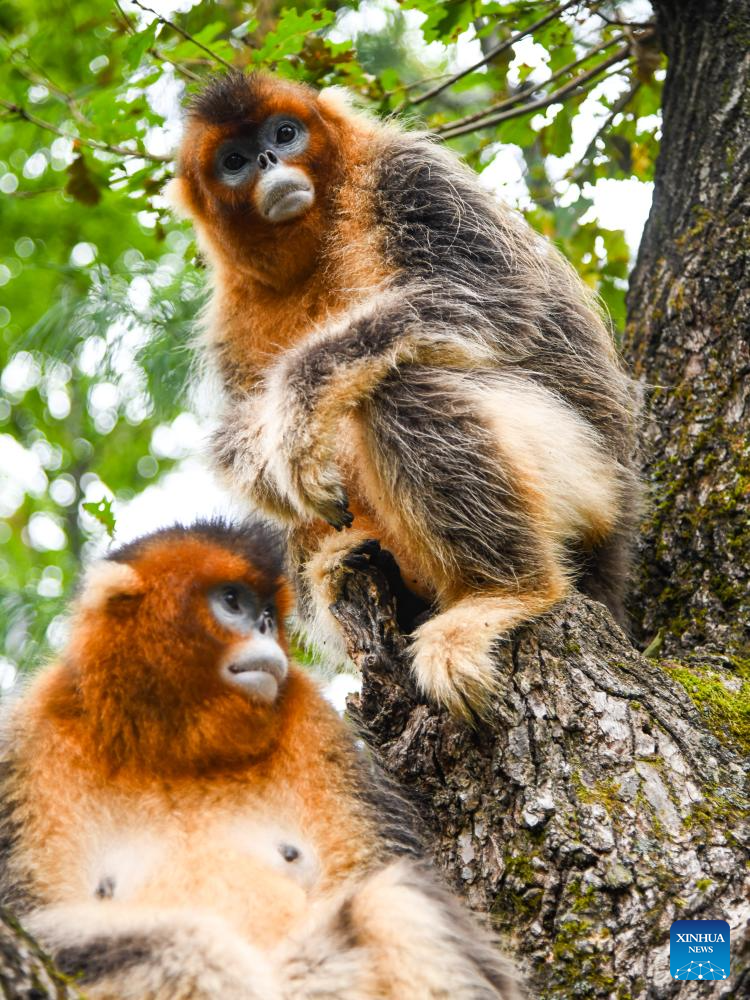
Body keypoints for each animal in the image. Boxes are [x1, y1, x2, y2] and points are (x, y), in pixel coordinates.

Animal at [1, 520, 524, 996]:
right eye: (233, 602)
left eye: (269, 613)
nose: (266, 628)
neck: (178, 750)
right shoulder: (30, 742)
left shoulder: (312, 723)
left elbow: (370, 872)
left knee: (395, 901)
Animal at [170, 74, 640, 720]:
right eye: (234, 162)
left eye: (284, 134)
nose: (267, 160)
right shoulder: (230, 312)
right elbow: (242, 434)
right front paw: (263, 463)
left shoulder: (411, 176)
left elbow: (493, 297)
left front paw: (298, 409)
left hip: (584, 477)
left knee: (401, 386)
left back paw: (503, 594)